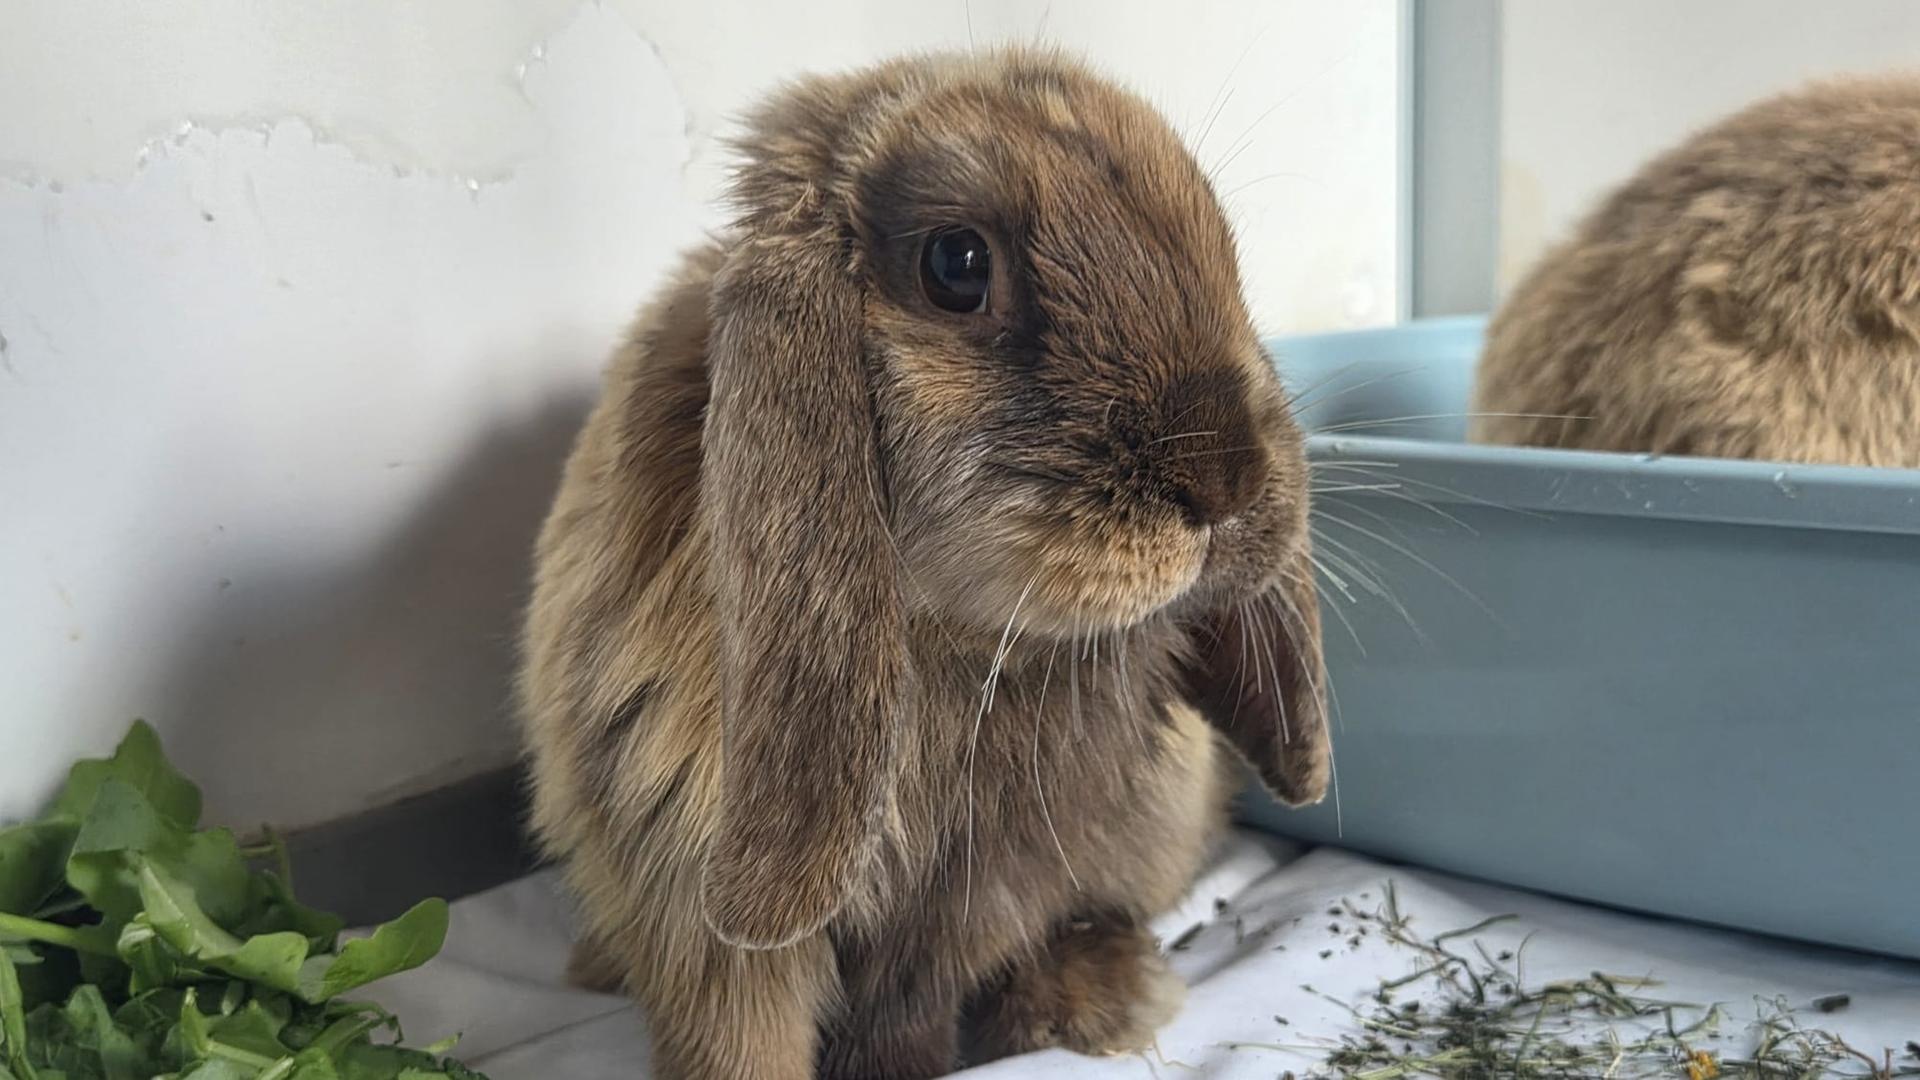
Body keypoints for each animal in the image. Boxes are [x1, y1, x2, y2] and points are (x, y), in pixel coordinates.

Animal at [517, 47, 1330, 1080]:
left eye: (1220, 243)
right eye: (957, 264)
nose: (1228, 481)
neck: (957, 645)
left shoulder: (973, 896)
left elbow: (912, 1001)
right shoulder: (690, 890)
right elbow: (736, 1030)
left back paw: (1092, 999)